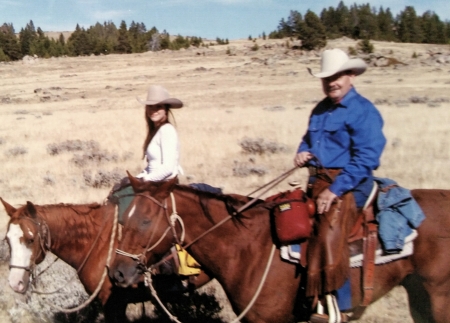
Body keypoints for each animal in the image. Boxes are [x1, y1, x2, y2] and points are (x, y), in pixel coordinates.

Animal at [108, 176, 450, 323]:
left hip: (438, 298)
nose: (118, 273)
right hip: (418, 295)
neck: (249, 249)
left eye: (146, 220)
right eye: (124, 218)